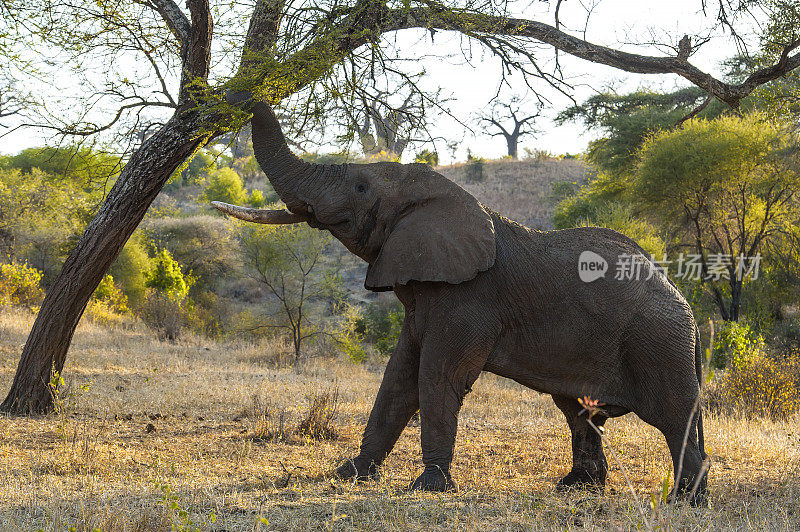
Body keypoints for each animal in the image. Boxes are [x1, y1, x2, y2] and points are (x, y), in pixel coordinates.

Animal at [216, 92, 708, 508]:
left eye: (360, 187)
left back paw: (685, 502)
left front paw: (429, 486)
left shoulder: (470, 299)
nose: (241, 92)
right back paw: (576, 488)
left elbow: (437, 376)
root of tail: (685, 303)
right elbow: (398, 378)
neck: (441, 198)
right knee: (578, 411)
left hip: (659, 342)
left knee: (674, 417)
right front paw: (350, 473)